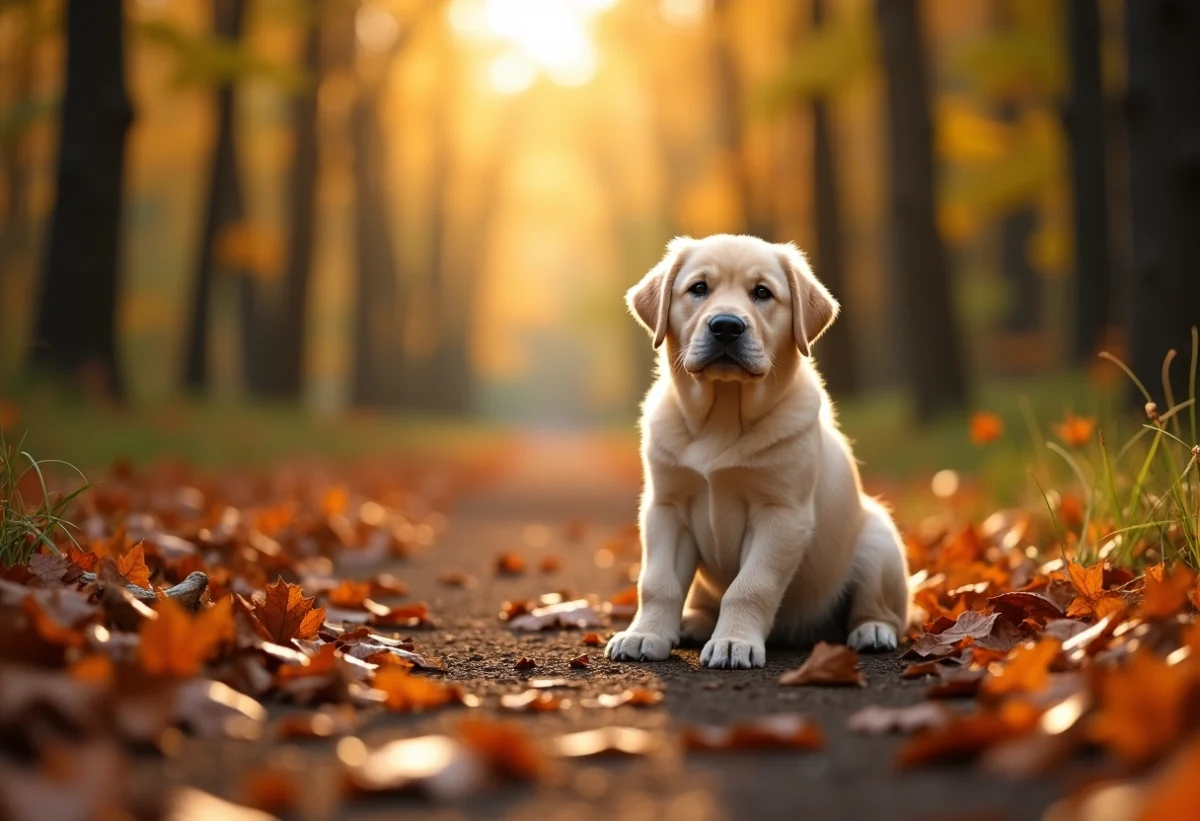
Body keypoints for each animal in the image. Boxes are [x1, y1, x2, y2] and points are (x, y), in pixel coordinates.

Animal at [609, 230, 907, 667]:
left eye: (762, 292)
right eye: (699, 288)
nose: (726, 326)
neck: (722, 416)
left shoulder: (781, 514)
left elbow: (751, 585)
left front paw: (733, 642)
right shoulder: (666, 508)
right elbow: (657, 582)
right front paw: (644, 634)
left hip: (879, 543)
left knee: (882, 609)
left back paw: (872, 631)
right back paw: (693, 623)